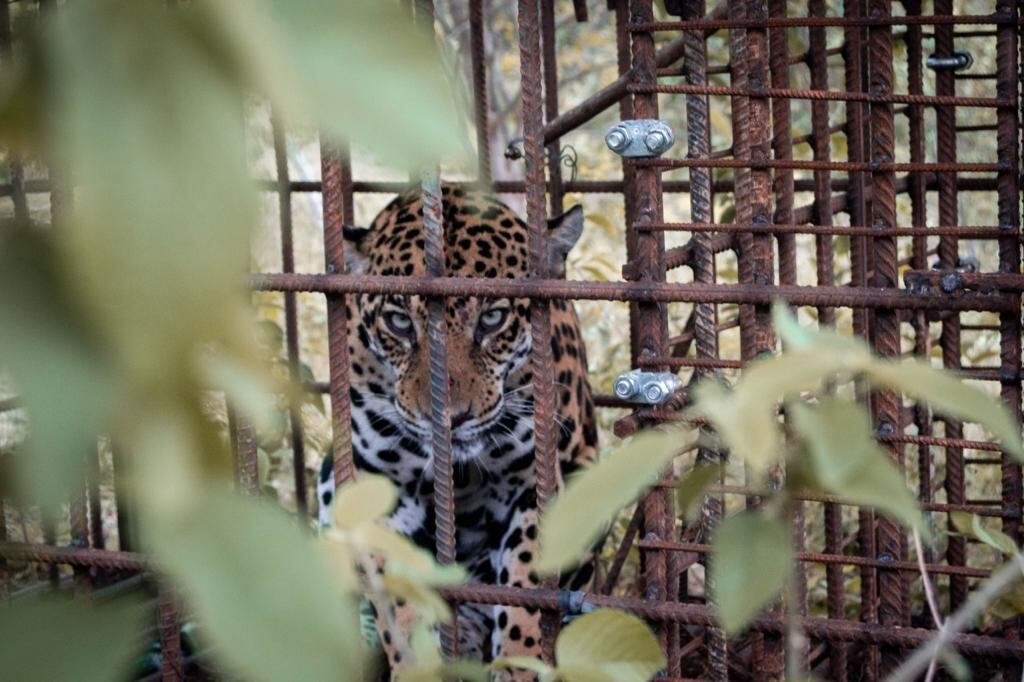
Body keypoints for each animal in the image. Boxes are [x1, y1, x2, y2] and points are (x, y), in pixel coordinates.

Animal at [317, 184, 598, 678]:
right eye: (399, 322)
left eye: (492, 319)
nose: (447, 419)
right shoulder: (381, 487)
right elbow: (400, 600)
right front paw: (417, 665)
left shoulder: (531, 483)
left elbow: (527, 586)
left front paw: (521, 666)